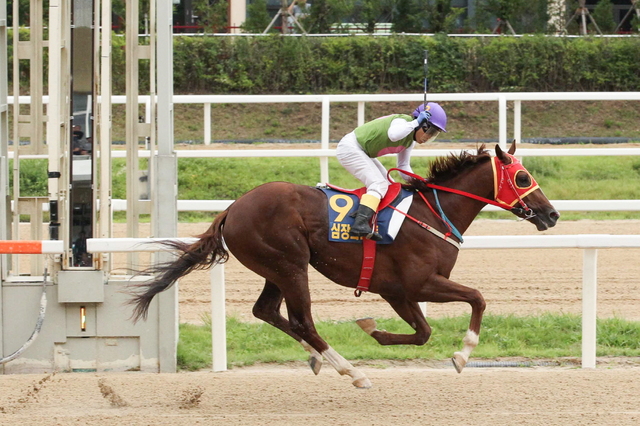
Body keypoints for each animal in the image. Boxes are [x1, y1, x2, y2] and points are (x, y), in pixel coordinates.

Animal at [131, 141, 560, 388]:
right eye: (524, 177)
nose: (552, 214)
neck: (432, 214)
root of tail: (232, 209)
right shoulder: (417, 284)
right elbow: (477, 298)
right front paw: (462, 355)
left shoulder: (396, 292)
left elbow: (423, 332)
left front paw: (373, 329)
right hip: (290, 265)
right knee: (302, 319)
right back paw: (351, 371)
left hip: (275, 268)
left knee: (266, 311)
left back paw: (316, 357)